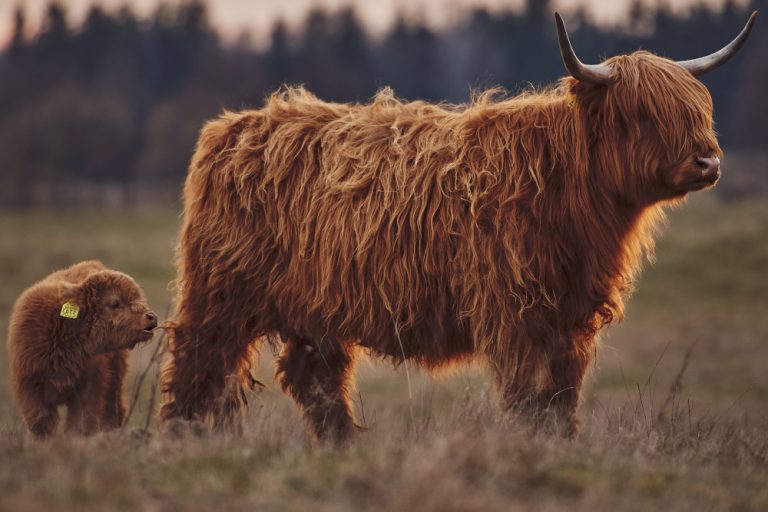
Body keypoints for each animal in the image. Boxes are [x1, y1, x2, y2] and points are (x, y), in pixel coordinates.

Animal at [159, 12, 757, 440]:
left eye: (698, 109)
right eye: (643, 114)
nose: (708, 161)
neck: (569, 188)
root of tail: (232, 127)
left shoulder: (571, 320)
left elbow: (562, 397)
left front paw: (560, 446)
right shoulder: (514, 313)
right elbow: (528, 395)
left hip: (317, 306)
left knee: (315, 376)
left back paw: (344, 444)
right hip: (220, 292)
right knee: (197, 361)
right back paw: (185, 438)